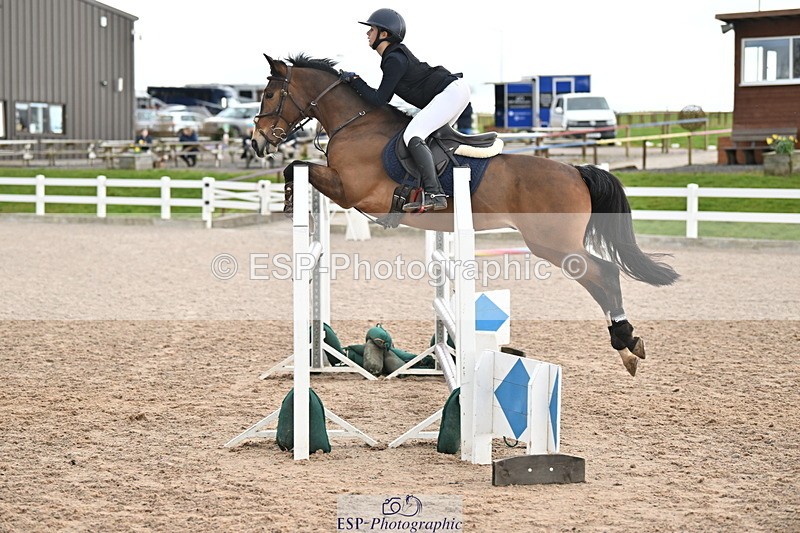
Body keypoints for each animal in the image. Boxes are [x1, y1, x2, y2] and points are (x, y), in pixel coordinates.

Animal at [251, 53, 680, 376]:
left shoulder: (351, 191)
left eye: (269, 93)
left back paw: (626, 344)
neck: (355, 125)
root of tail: (576, 170)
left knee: (603, 274)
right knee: (601, 277)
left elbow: (295, 167)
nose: (257, 142)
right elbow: (297, 166)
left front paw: (287, 199)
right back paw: (627, 345)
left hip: (553, 244)